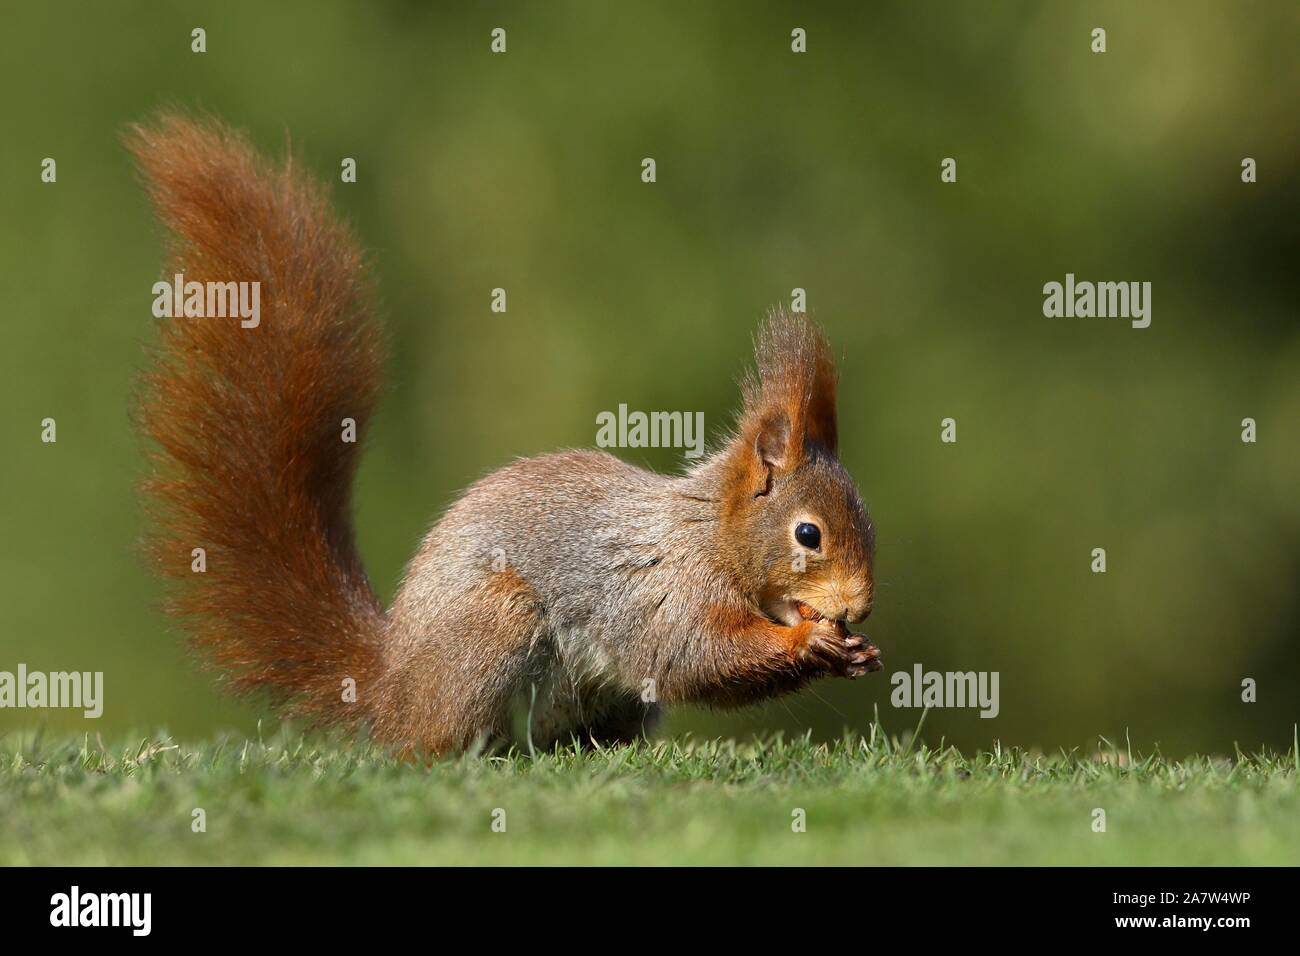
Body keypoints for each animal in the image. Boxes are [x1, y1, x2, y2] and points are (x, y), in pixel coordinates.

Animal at [129, 113, 883, 754]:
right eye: (808, 534)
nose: (860, 607)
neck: (707, 537)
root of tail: (390, 688)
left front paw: (853, 652)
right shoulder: (662, 595)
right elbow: (696, 657)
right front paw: (810, 642)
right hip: (494, 628)